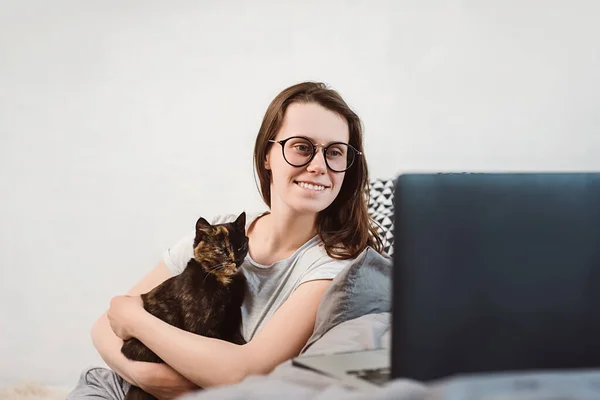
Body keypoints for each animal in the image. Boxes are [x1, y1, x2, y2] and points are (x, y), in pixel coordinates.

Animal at [122, 211, 248, 398]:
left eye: (240, 247)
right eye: (221, 249)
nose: (236, 260)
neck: (224, 283)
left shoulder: (231, 320)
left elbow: (238, 342)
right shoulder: (200, 328)